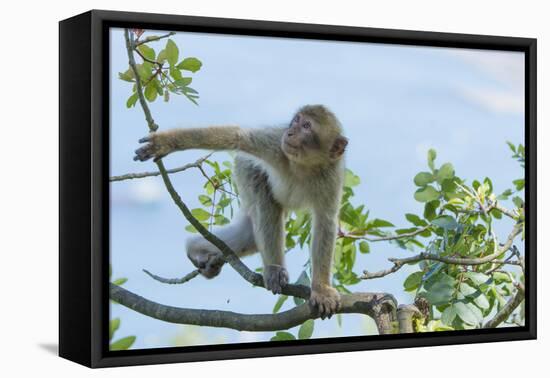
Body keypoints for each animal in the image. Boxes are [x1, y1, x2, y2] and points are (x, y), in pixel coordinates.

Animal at [134, 105, 350, 318]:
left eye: (306, 126)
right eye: (296, 120)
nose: (289, 132)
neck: (304, 165)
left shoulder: (331, 177)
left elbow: (326, 222)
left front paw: (321, 289)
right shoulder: (275, 146)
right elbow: (236, 136)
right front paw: (165, 143)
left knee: (250, 237)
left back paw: (196, 249)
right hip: (244, 169)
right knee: (263, 198)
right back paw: (273, 269)